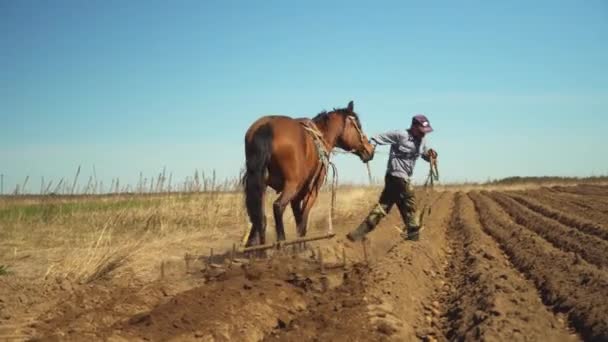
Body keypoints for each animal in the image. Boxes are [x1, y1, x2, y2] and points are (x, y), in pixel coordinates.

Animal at [242, 100, 376, 247]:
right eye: (358, 126)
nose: (370, 150)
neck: (321, 137)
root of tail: (267, 126)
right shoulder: (311, 191)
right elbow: (303, 223)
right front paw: (301, 246)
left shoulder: (296, 197)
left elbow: (298, 220)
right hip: (291, 185)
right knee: (277, 207)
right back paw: (281, 243)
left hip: (260, 185)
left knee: (259, 217)